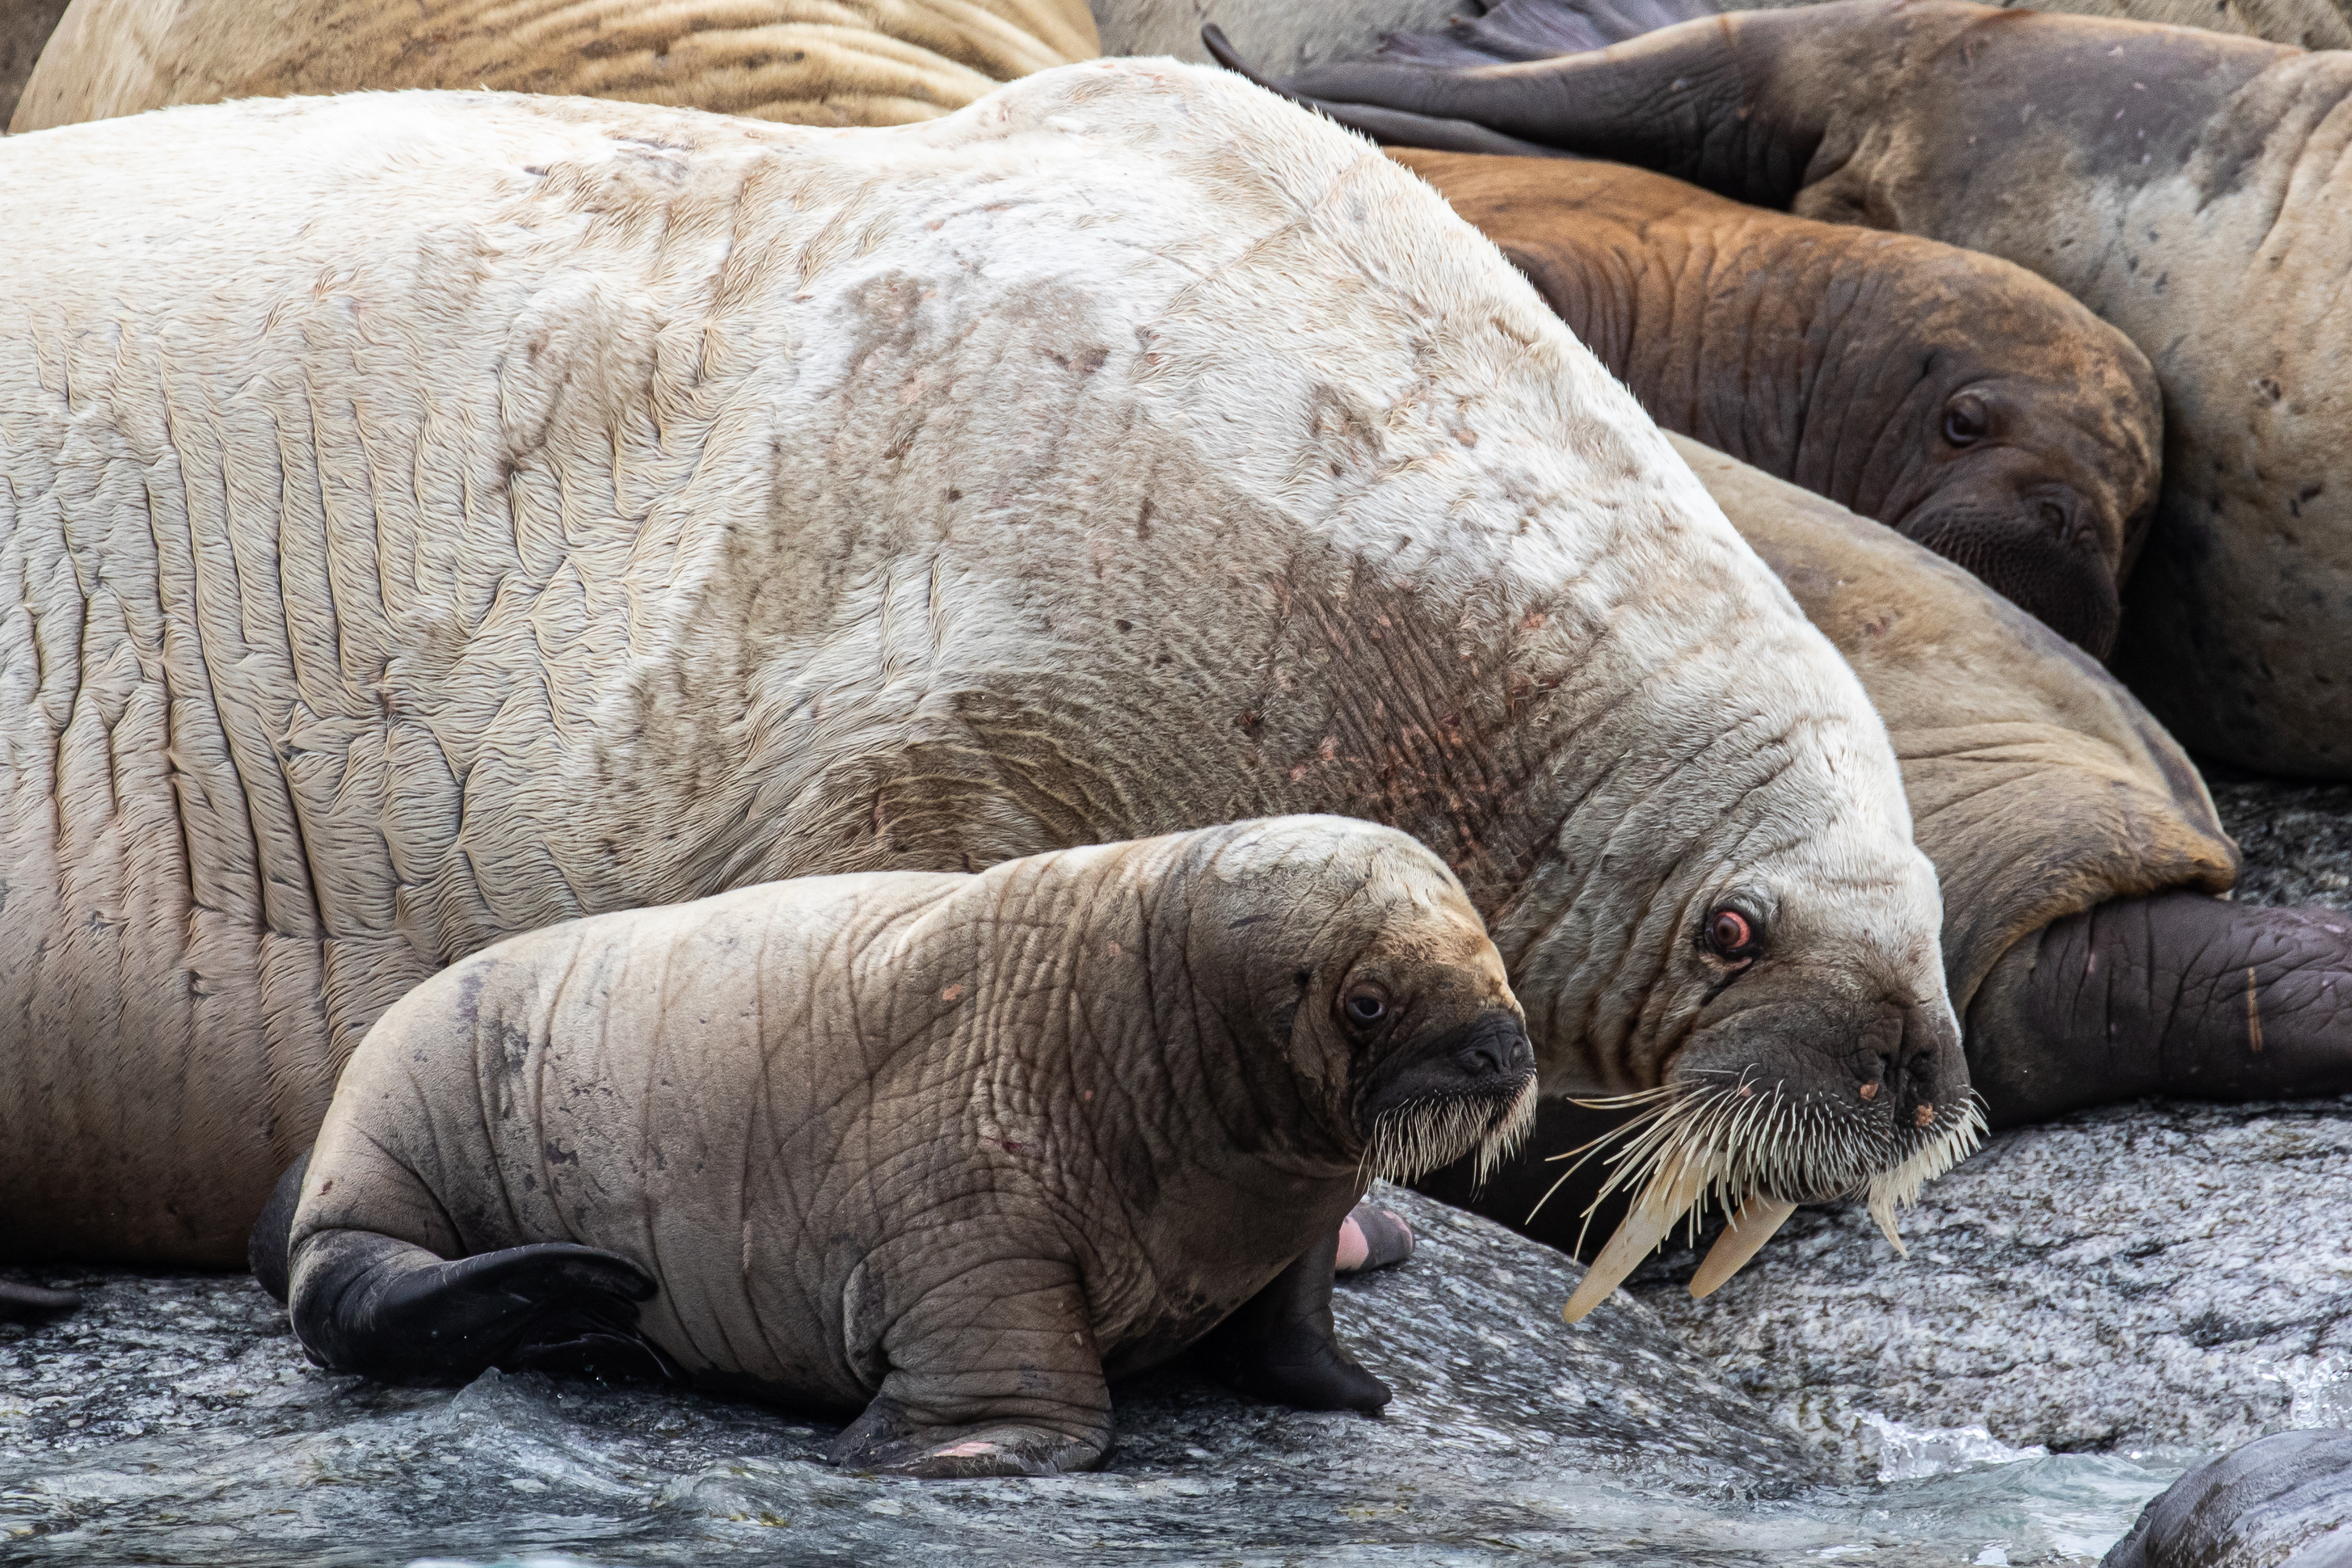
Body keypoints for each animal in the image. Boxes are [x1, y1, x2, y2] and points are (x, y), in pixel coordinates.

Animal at [267, 818, 1542, 1476]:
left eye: (1493, 953)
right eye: (1367, 1001)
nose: (1503, 1047)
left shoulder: (1292, 1229)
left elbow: (1297, 1328)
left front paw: (1355, 1391)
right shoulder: (971, 1222)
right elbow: (1024, 1379)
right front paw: (958, 1447)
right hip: (376, 1149)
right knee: (353, 1291)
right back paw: (580, 1305)